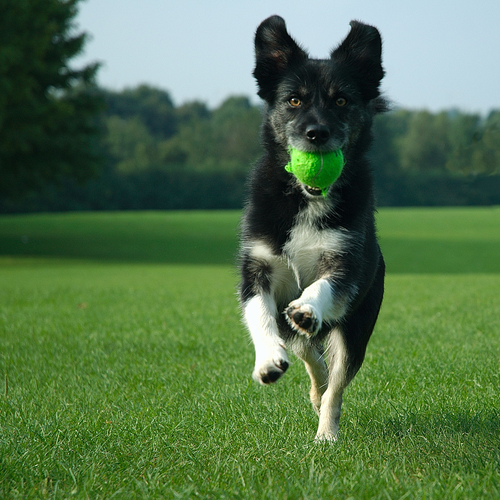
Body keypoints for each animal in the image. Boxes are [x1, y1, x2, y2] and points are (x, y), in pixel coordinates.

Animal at [238, 15, 386, 442]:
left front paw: (307, 308)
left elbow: (324, 286)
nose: (316, 133)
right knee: (310, 355)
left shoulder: (345, 263)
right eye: (293, 100)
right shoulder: (257, 265)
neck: (306, 199)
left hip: (356, 329)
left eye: (341, 101)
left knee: (335, 382)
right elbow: (259, 312)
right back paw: (312, 386)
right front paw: (268, 360)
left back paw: (327, 432)